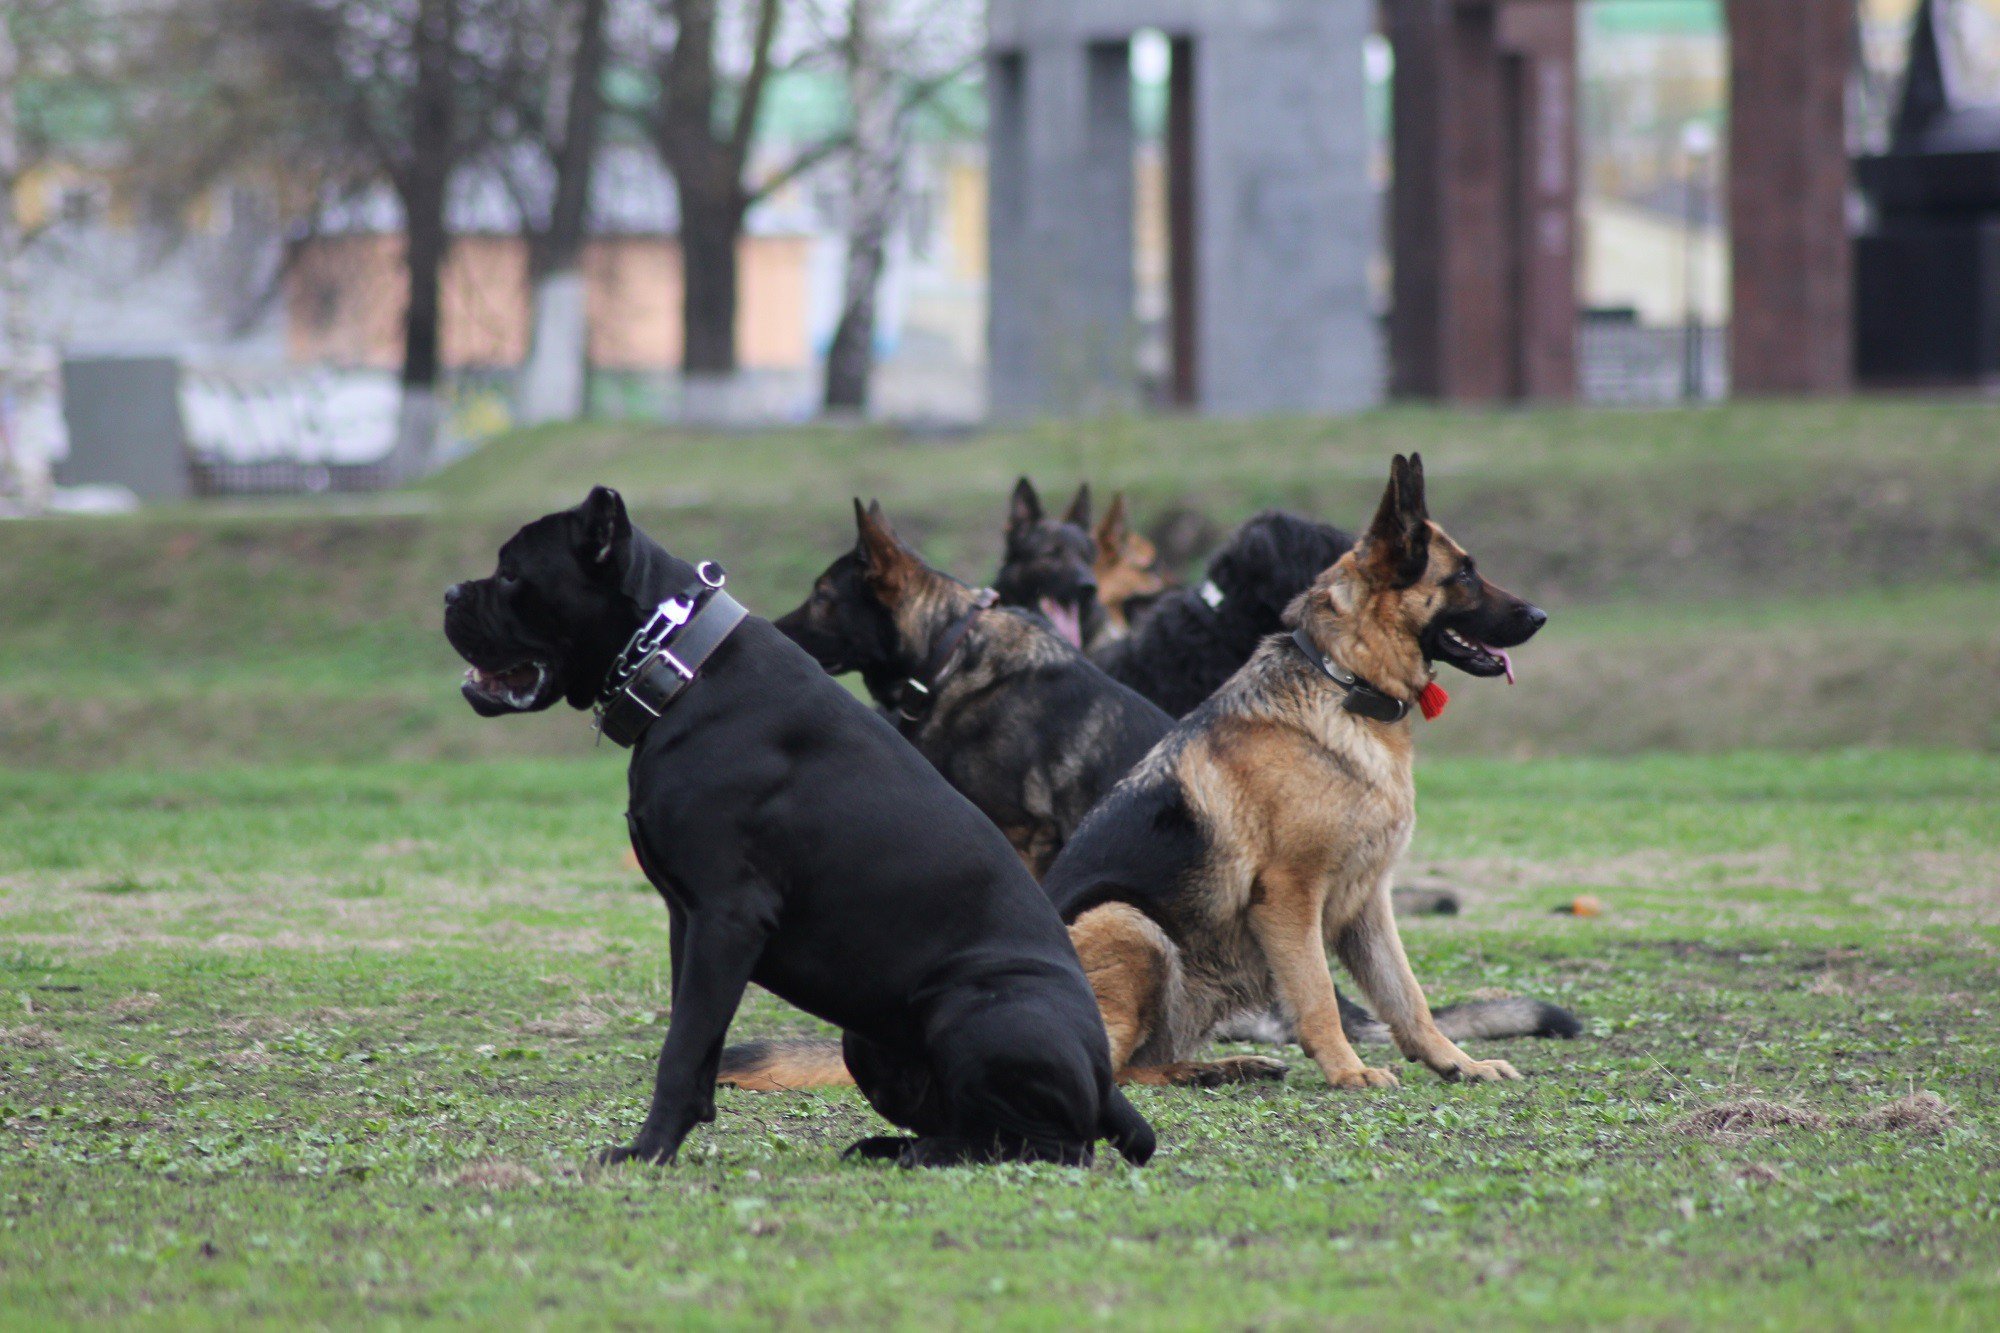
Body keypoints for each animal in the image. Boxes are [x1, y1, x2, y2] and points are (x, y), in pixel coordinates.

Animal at [444, 486, 1152, 1160]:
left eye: (511, 574)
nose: (450, 593)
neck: (680, 663)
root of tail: (1106, 1082)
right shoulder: (689, 921)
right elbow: (694, 1043)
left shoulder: (725, 917)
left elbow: (679, 1050)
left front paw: (646, 1152)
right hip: (867, 1041)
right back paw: (895, 1147)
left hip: (973, 1010)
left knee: (1056, 1147)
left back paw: (927, 1156)